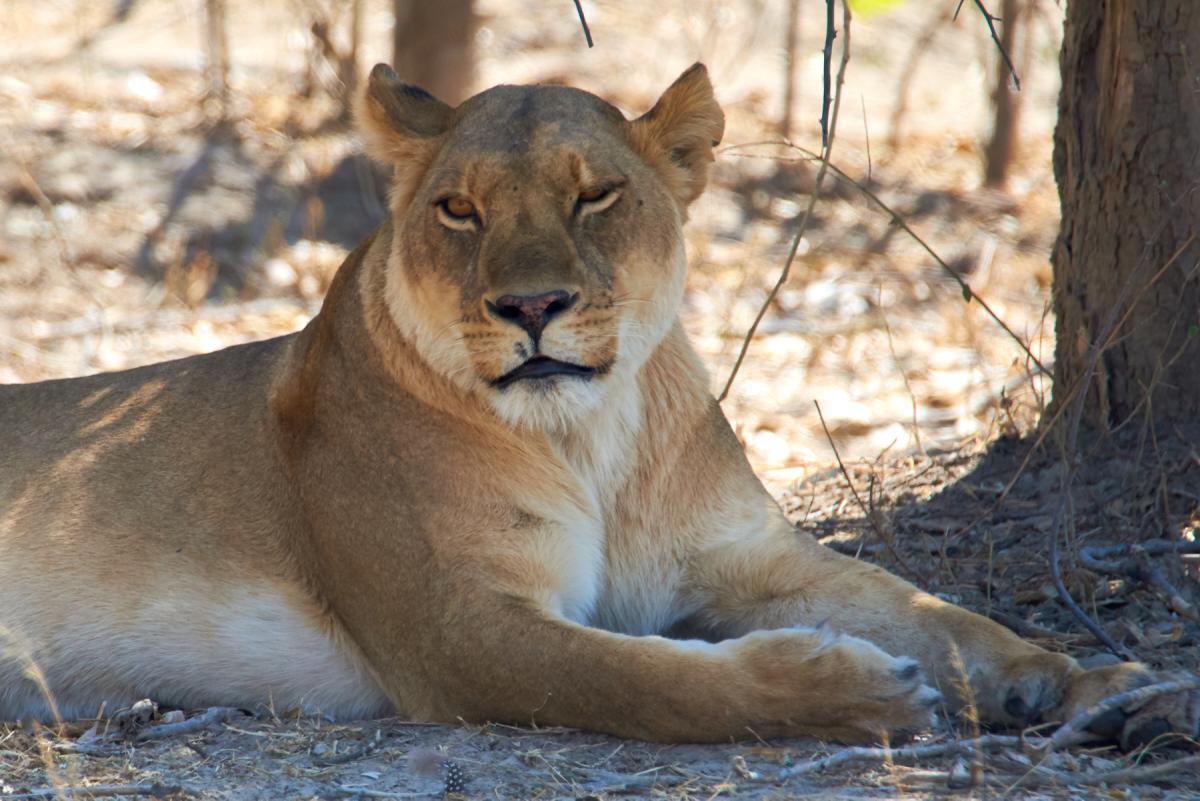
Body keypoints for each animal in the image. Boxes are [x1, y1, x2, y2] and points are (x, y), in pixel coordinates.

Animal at [0, 64, 1194, 748]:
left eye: (596, 195)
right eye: (459, 209)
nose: (532, 305)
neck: (594, 437)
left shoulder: (751, 559)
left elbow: (940, 614)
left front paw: (1093, 683)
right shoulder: (456, 626)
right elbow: (651, 683)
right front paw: (854, 691)